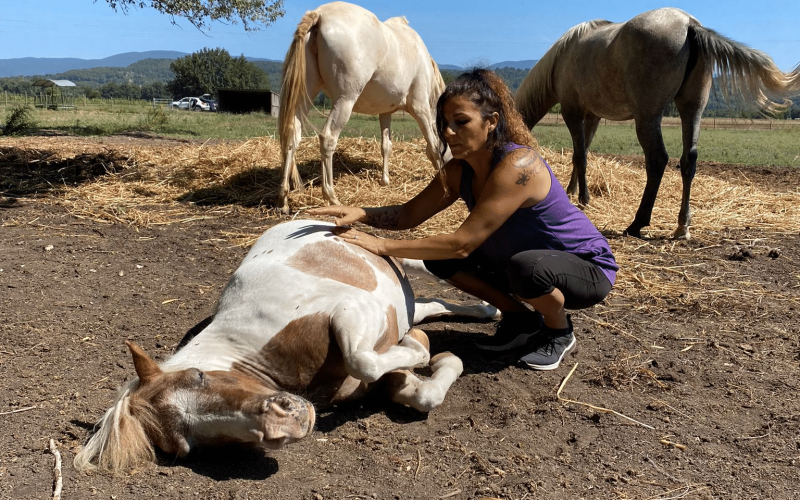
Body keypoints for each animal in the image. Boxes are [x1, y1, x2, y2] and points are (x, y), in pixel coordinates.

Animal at [76, 220, 500, 472]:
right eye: (186, 445)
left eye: (198, 377)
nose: (282, 425)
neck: (251, 351)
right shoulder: (372, 377)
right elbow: (420, 391)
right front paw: (438, 357)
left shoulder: (348, 310)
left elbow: (362, 358)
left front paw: (421, 347)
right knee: (427, 305)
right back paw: (481, 312)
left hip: (399, 258)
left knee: (433, 274)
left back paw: (493, 306)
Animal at [278, 1, 446, 213]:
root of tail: (320, 14)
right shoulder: (420, 109)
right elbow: (433, 145)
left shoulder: (385, 112)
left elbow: (386, 146)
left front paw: (385, 181)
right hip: (345, 100)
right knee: (328, 138)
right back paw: (331, 197)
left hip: (305, 94)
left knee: (292, 135)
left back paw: (284, 198)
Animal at [516, 7, 796, 238]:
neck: (562, 58)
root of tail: (689, 25)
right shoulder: (592, 115)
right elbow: (582, 152)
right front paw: (572, 191)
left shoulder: (572, 112)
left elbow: (580, 156)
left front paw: (582, 198)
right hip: (691, 109)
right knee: (688, 160)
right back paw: (682, 226)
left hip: (648, 117)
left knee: (658, 160)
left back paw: (637, 223)